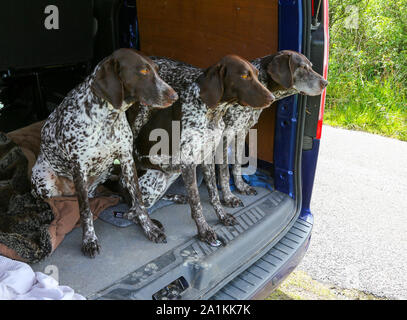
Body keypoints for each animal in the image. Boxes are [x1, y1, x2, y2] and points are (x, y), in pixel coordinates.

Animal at [31, 48, 178, 258]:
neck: (108, 118)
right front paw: (89, 240)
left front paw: (150, 228)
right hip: (45, 181)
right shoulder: (79, 168)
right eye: (143, 71)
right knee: (55, 199)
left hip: (107, 170)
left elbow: (139, 200)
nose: (175, 96)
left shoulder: (126, 160)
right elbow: (85, 211)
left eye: (157, 70)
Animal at [132, 55, 276, 245]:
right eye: (244, 76)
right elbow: (197, 203)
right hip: (153, 181)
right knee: (134, 211)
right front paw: (205, 231)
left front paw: (223, 216)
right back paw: (152, 226)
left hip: (170, 174)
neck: (212, 113)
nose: (272, 97)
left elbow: (214, 193)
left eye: (258, 75)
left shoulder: (207, 156)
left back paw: (177, 198)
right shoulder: (188, 163)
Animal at [220, 49, 328, 206]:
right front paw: (229, 197)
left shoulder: (241, 133)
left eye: (311, 66)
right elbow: (224, 172)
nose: (326, 83)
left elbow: (237, 164)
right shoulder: (224, 136)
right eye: (302, 67)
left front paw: (241, 186)